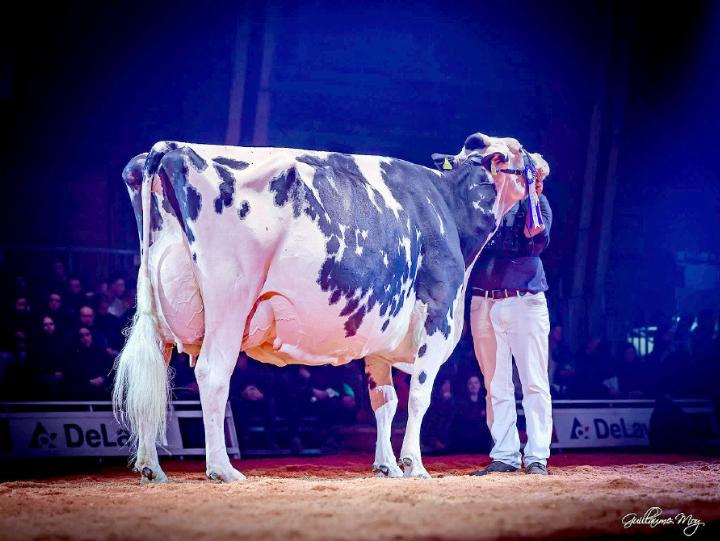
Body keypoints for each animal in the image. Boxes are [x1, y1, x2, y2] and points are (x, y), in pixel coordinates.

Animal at [114, 134, 540, 480]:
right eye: (518, 150)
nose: (541, 162)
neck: (447, 206)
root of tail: (170, 147)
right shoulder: (437, 316)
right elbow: (419, 397)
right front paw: (414, 465)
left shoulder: (379, 334)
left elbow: (385, 402)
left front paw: (386, 466)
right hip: (230, 301)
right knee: (212, 373)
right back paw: (222, 469)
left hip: (158, 308)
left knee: (153, 378)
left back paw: (151, 468)